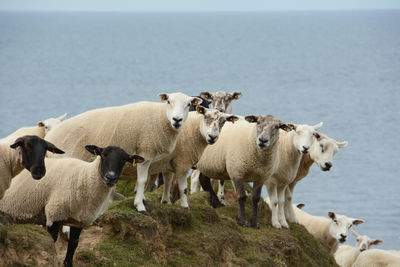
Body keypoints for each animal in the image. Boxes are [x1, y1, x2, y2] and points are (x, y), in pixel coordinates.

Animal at [0, 146, 144, 267]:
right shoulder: (54, 213)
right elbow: (52, 242)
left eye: (124, 160)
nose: (110, 177)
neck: (84, 177)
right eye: (103, 154)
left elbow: (73, 245)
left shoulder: (77, 220)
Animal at [45, 93, 202, 214]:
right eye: (169, 101)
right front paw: (139, 205)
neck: (162, 118)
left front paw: (142, 199)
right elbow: (142, 180)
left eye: (188, 104)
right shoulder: (145, 152)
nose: (177, 120)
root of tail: (49, 137)